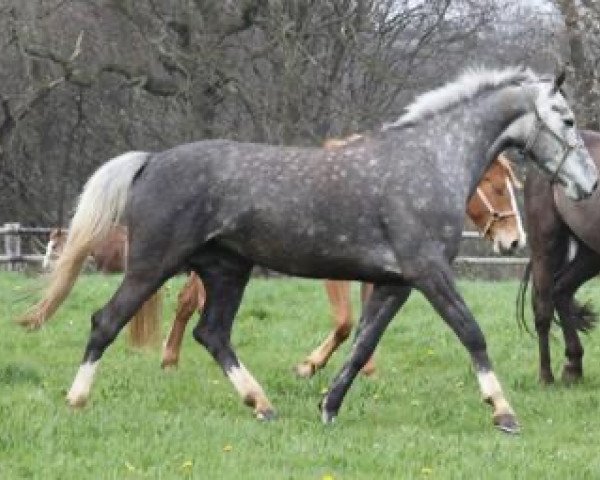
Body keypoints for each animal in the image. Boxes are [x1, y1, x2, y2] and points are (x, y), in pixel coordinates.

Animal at [516, 129, 600, 384]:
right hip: (545, 245)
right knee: (543, 307)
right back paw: (546, 376)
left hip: (590, 252)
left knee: (561, 290)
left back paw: (573, 365)